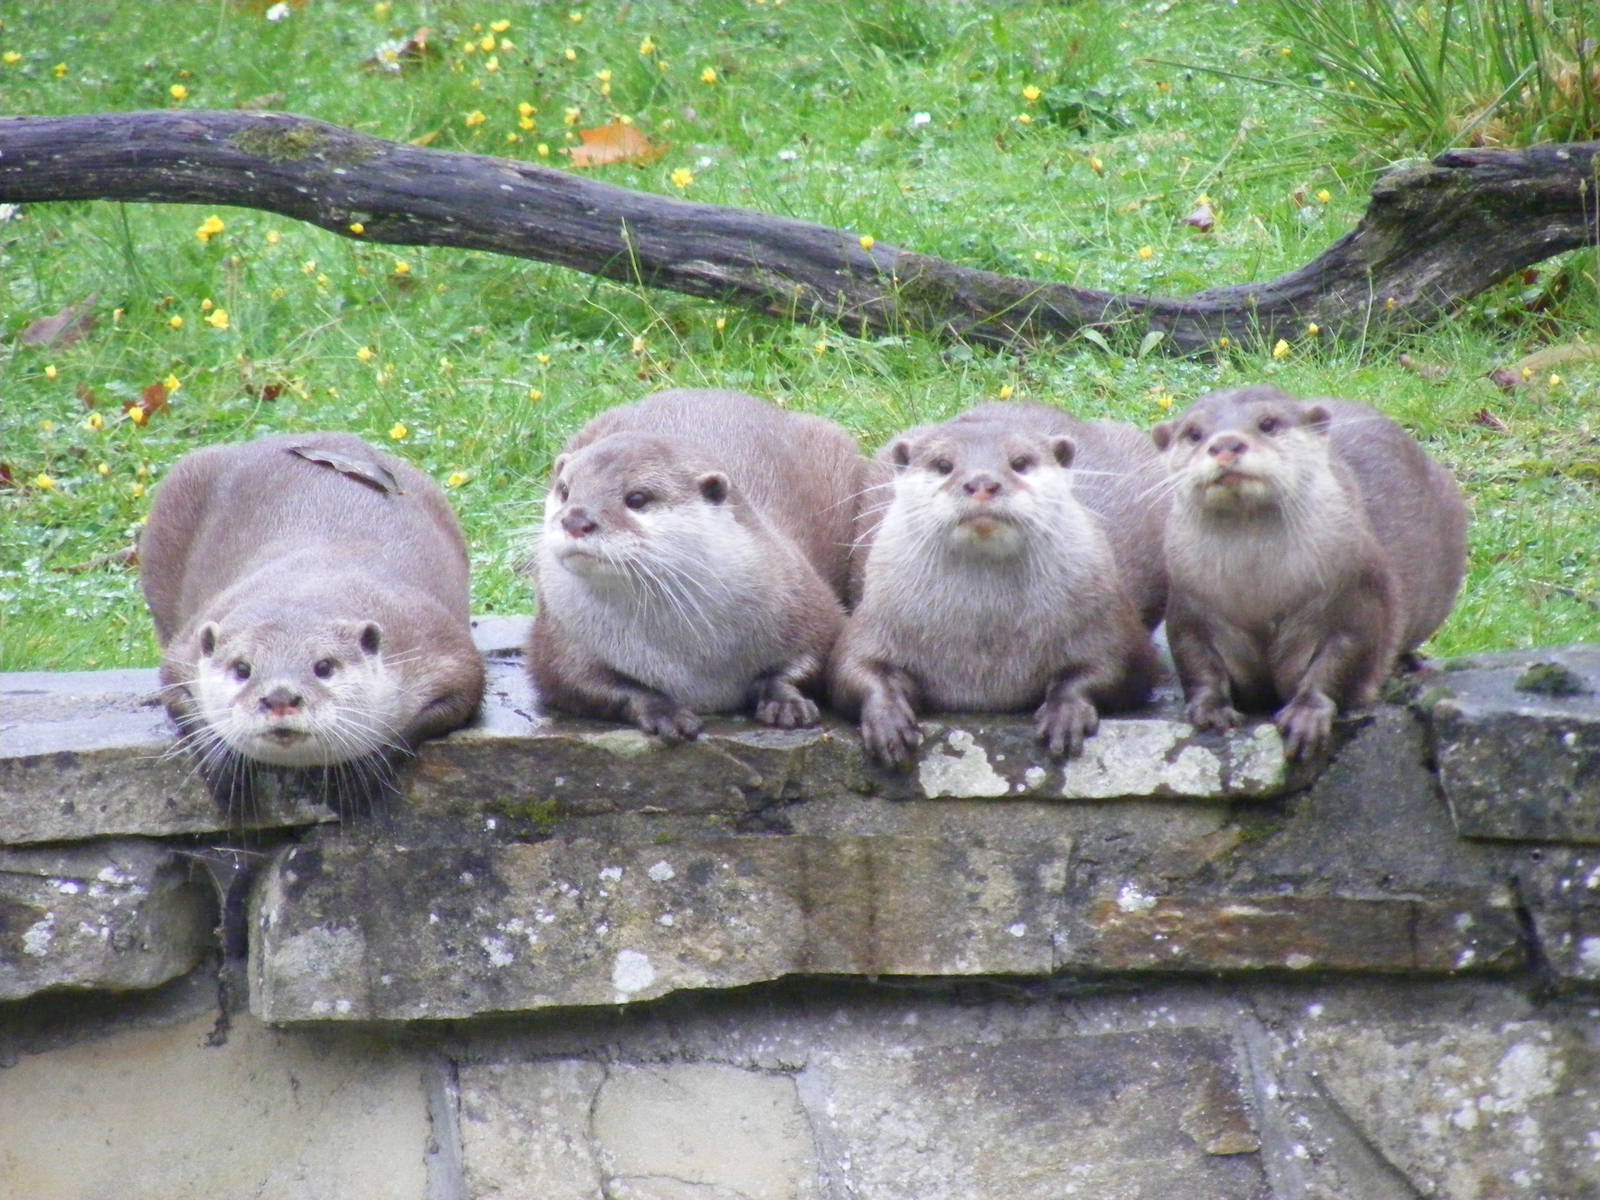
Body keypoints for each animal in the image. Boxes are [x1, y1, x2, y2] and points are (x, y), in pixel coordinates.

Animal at [140, 432, 485, 815]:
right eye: (242, 669)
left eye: (324, 666)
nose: (280, 697)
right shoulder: (184, 651)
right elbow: (176, 694)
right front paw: (222, 761)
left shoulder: (439, 649)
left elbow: (446, 707)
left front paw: (364, 771)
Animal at [529, 388, 866, 740]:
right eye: (565, 490)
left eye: (637, 498)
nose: (575, 519)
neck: (692, 658)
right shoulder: (562, 637)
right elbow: (578, 682)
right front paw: (665, 711)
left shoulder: (808, 603)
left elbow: (814, 657)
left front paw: (786, 701)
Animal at [830, 409, 1158, 766]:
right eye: (943, 464)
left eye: (1020, 462)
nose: (982, 483)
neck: (985, 649)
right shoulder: (877, 615)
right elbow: (850, 669)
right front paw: (887, 718)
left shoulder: (1105, 618)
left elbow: (1118, 668)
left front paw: (1066, 713)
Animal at [1152, 385, 1468, 758]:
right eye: (1194, 433)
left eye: (1268, 423)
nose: (1226, 444)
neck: (1258, 588)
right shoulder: (1191, 605)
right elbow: (1197, 660)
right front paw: (1211, 708)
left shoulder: (1357, 596)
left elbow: (1340, 662)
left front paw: (1306, 714)